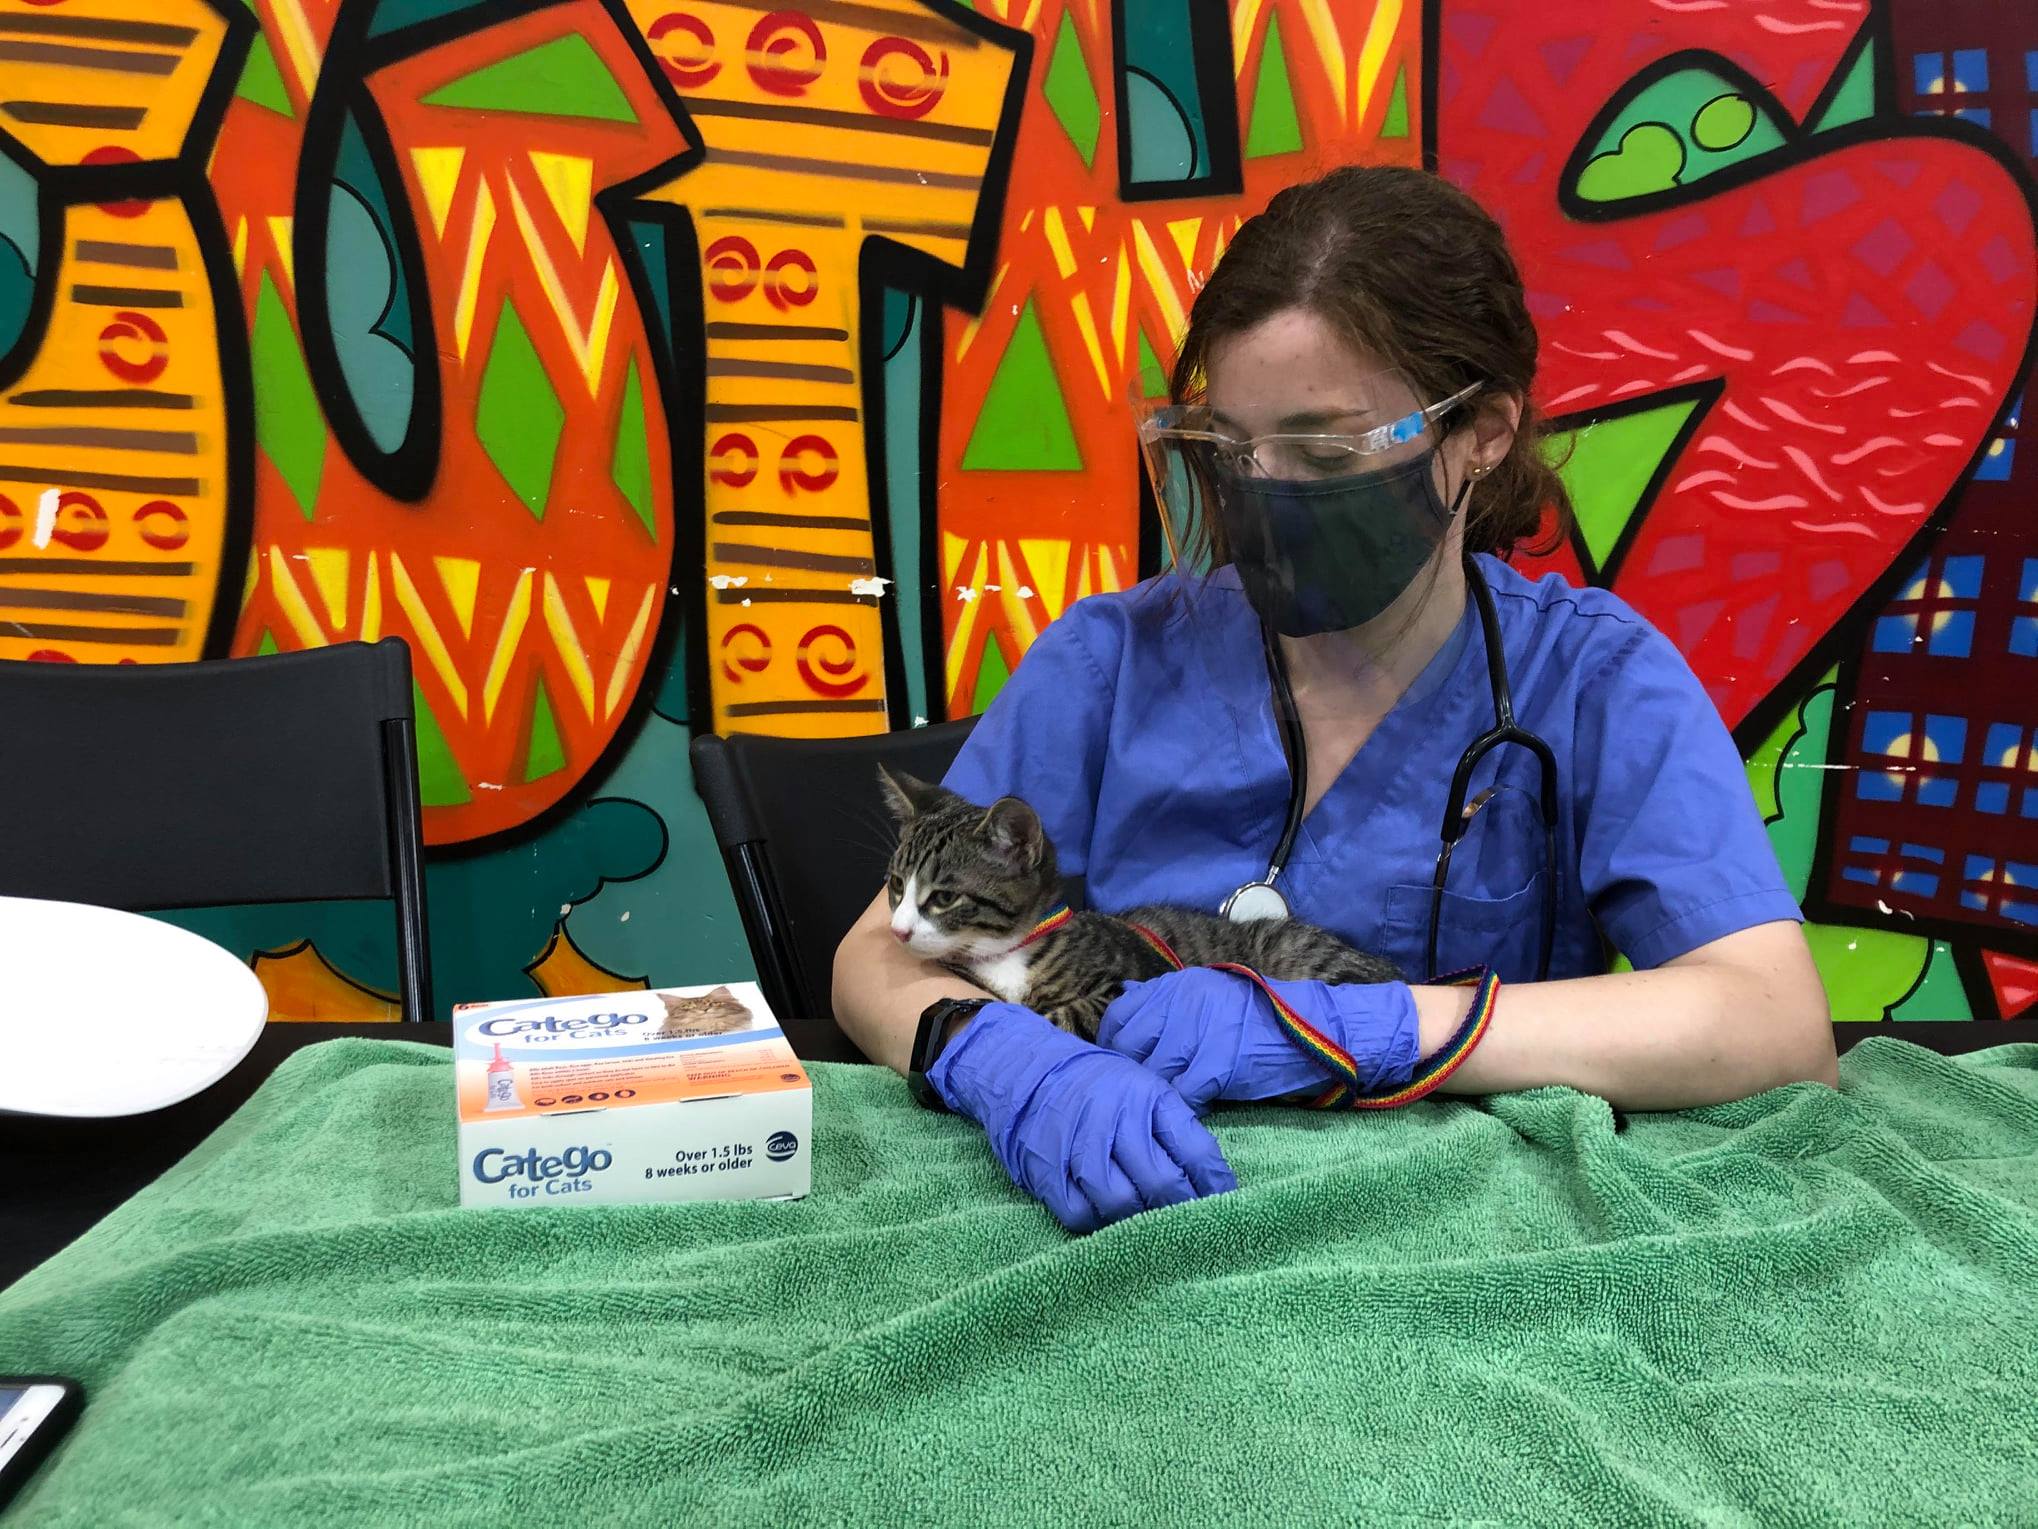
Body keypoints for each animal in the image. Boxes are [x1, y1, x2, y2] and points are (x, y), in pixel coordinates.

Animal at [876, 766, 1402, 1043]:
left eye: (944, 897)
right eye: (897, 885)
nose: (898, 930)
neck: (1008, 953)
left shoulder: (1137, 976)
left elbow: (1078, 1012)